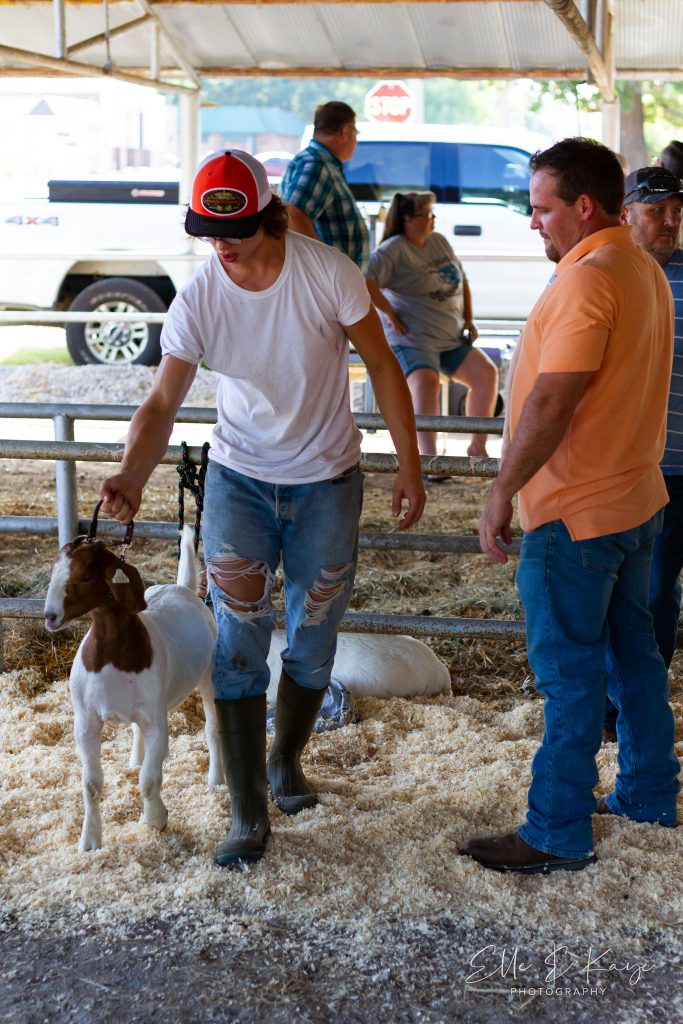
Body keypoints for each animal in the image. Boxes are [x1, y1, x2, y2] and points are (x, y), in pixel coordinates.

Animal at [44, 525, 223, 852]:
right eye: (53, 569)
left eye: (85, 576)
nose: (50, 616)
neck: (113, 654)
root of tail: (183, 589)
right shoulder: (86, 721)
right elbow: (91, 784)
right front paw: (90, 840)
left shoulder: (156, 721)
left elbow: (149, 780)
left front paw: (156, 819)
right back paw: (134, 760)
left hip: (210, 676)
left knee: (213, 729)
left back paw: (216, 780)